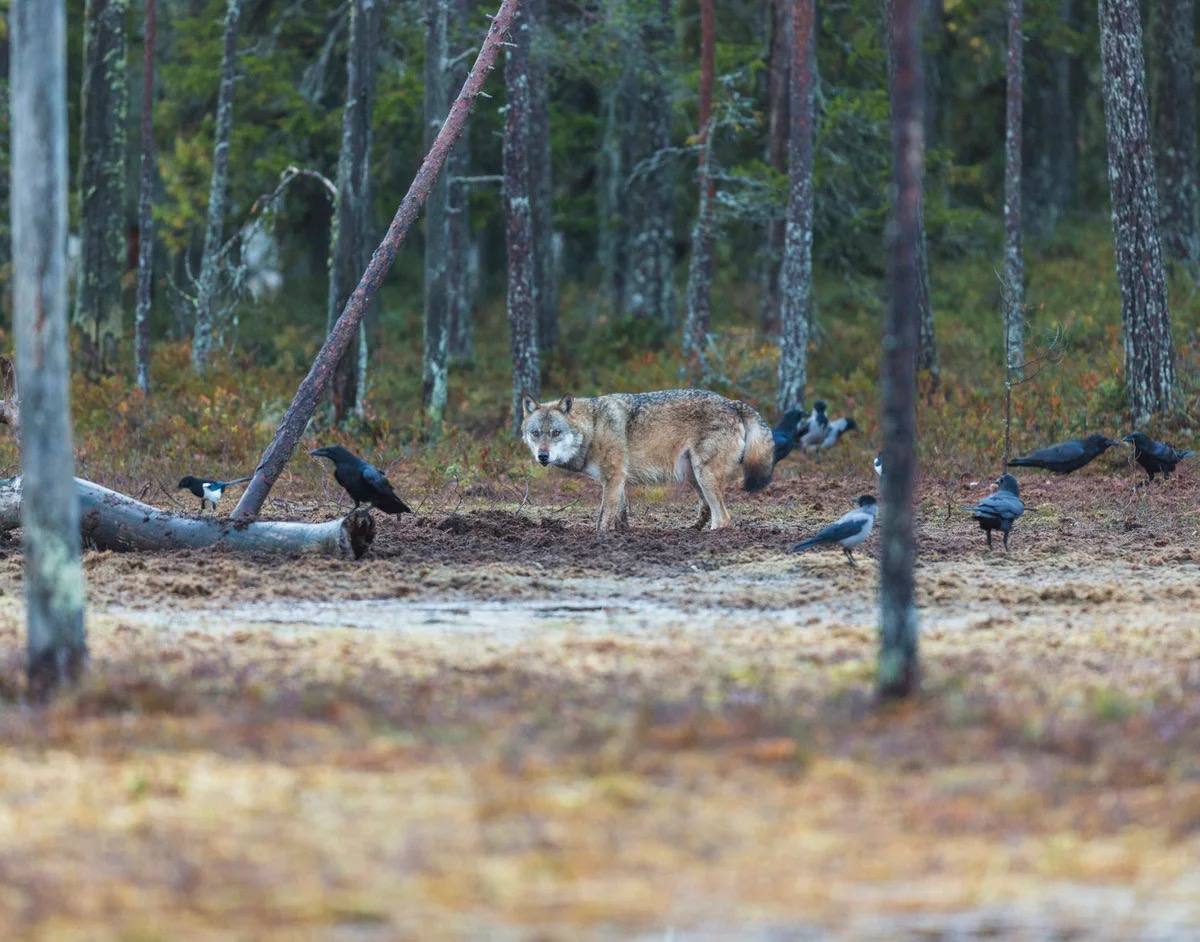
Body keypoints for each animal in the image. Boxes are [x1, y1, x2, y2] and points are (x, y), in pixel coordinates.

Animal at [520, 388, 772, 532]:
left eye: (555, 433)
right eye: (536, 433)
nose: (542, 456)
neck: (592, 427)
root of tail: (733, 403)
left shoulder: (613, 478)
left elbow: (603, 516)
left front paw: (600, 537)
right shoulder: (617, 480)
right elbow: (620, 515)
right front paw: (623, 534)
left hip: (703, 475)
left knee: (724, 518)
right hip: (692, 475)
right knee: (707, 509)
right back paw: (692, 529)